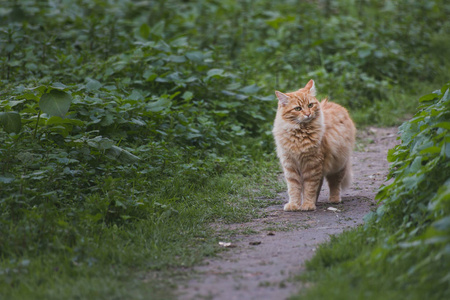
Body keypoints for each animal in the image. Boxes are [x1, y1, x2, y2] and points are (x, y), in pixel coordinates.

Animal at [274, 79, 356, 211]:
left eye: (310, 105)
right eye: (298, 108)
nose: (308, 114)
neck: (299, 136)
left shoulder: (312, 165)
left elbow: (310, 188)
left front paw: (307, 205)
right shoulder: (290, 165)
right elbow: (294, 189)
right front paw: (294, 205)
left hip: (338, 165)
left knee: (334, 184)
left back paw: (334, 199)